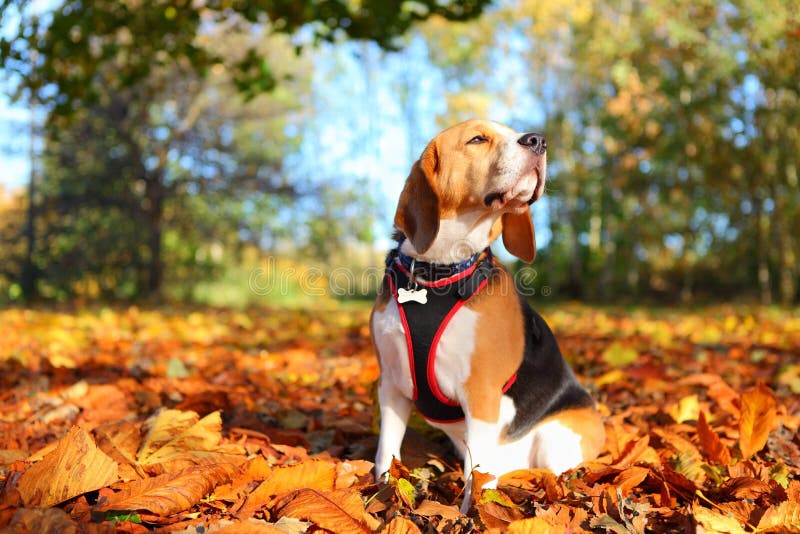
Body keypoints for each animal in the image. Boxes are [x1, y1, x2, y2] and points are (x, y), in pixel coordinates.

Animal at [372, 119, 604, 512]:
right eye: (478, 139)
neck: (438, 273)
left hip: (556, 440)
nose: (538, 141)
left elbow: (475, 475)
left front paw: (471, 515)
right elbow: (386, 451)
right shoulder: (391, 383)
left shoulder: (480, 392)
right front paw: (380, 492)